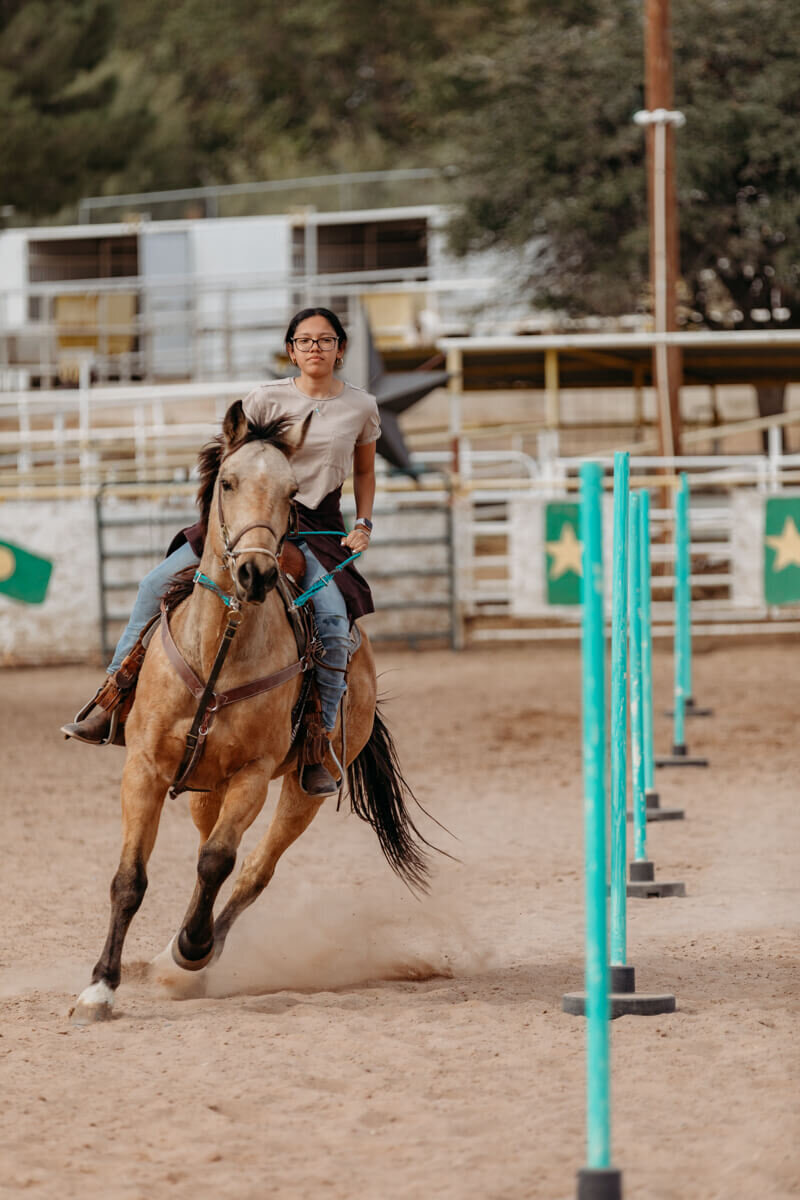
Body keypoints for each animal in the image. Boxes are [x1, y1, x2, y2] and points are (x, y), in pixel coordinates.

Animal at [70, 400, 431, 1022]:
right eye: (229, 482)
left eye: (292, 492)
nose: (256, 573)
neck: (221, 647)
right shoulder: (143, 768)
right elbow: (130, 879)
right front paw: (99, 989)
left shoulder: (254, 777)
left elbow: (220, 862)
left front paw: (191, 950)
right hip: (203, 785)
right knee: (206, 848)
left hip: (304, 788)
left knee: (254, 869)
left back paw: (191, 956)